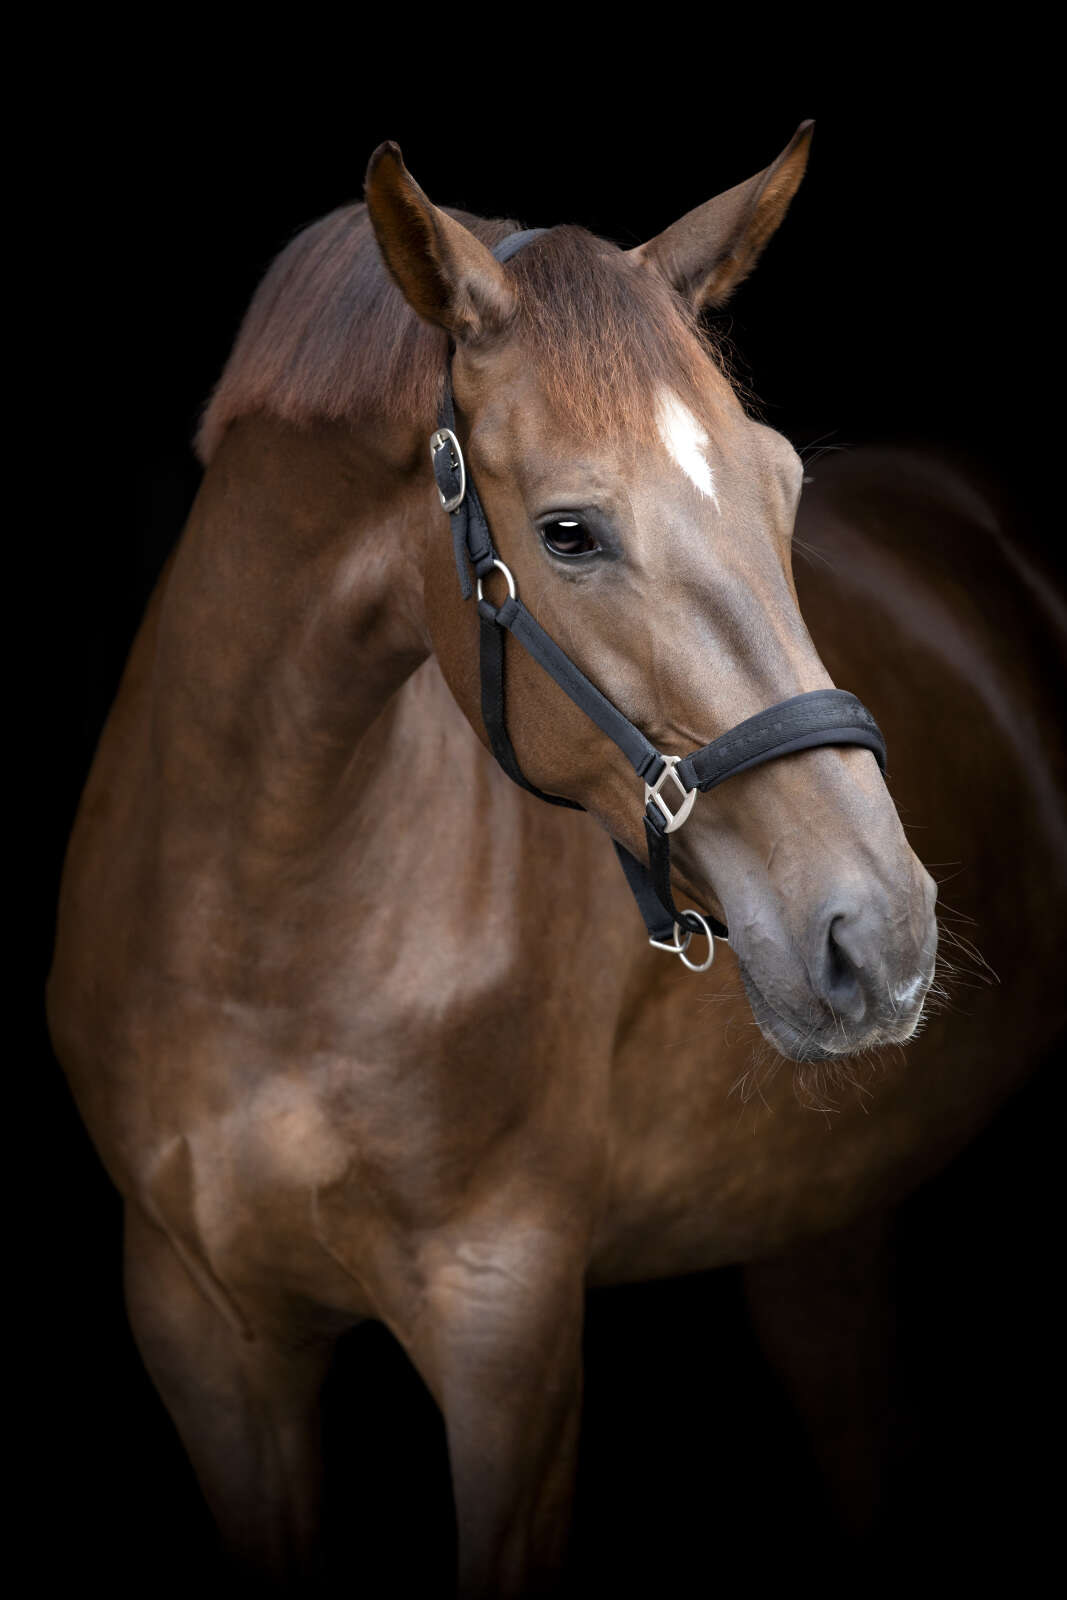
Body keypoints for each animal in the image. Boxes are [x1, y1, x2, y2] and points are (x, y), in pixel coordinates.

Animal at [47, 124, 1067, 1596]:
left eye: (783, 488)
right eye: (568, 532)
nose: (875, 935)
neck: (262, 928)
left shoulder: (507, 1335)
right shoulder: (204, 1335)